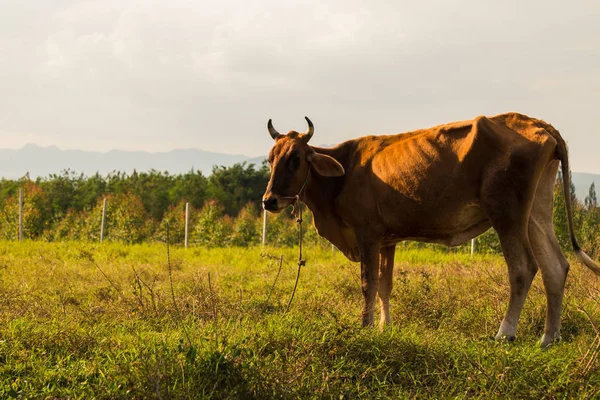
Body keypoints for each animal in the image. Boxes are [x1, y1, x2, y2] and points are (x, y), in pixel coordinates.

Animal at [262, 113, 600, 346]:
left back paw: (505, 334)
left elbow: (368, 283)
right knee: (555, 266)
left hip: (507, 213)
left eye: (295, 159)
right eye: (269, 160)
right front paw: (386, 326)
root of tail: (537, 123)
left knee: (523, 268)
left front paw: (366, 326)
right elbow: (385, 285)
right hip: (536, 213)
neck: (343, 175)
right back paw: (549, 338)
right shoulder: (388, 239)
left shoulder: (367, 234)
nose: (269, 200)